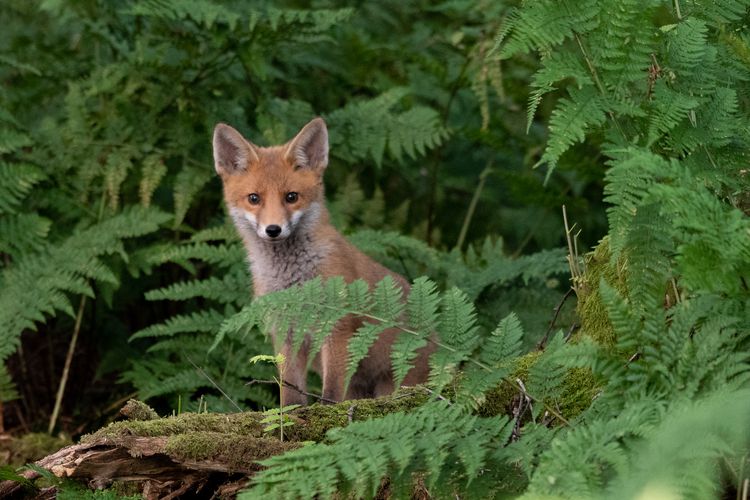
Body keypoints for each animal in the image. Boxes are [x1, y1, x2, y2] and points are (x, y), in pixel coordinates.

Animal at [212, 117, 433, 405]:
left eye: (291, 197)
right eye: (254, 198)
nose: (273, 229)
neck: (293, 280)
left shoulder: (337, 326)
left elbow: (331, 392)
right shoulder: (285, 333)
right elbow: (290, 392)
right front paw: (289, 414)